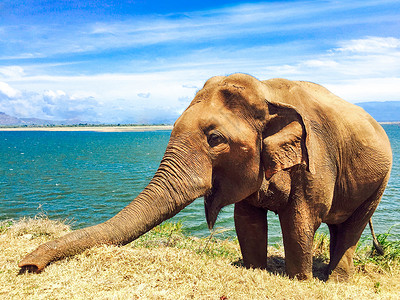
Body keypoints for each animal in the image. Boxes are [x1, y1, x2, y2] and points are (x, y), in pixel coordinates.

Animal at [18, 73, 390, 282]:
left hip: (381, 182)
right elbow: (246, 220)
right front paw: (256, 271)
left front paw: (299, 281)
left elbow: (300, 220)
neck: (267, 91)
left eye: (215, 139)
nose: (27, 266)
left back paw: (335, 282)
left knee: (352, 227)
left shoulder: (315, 160)